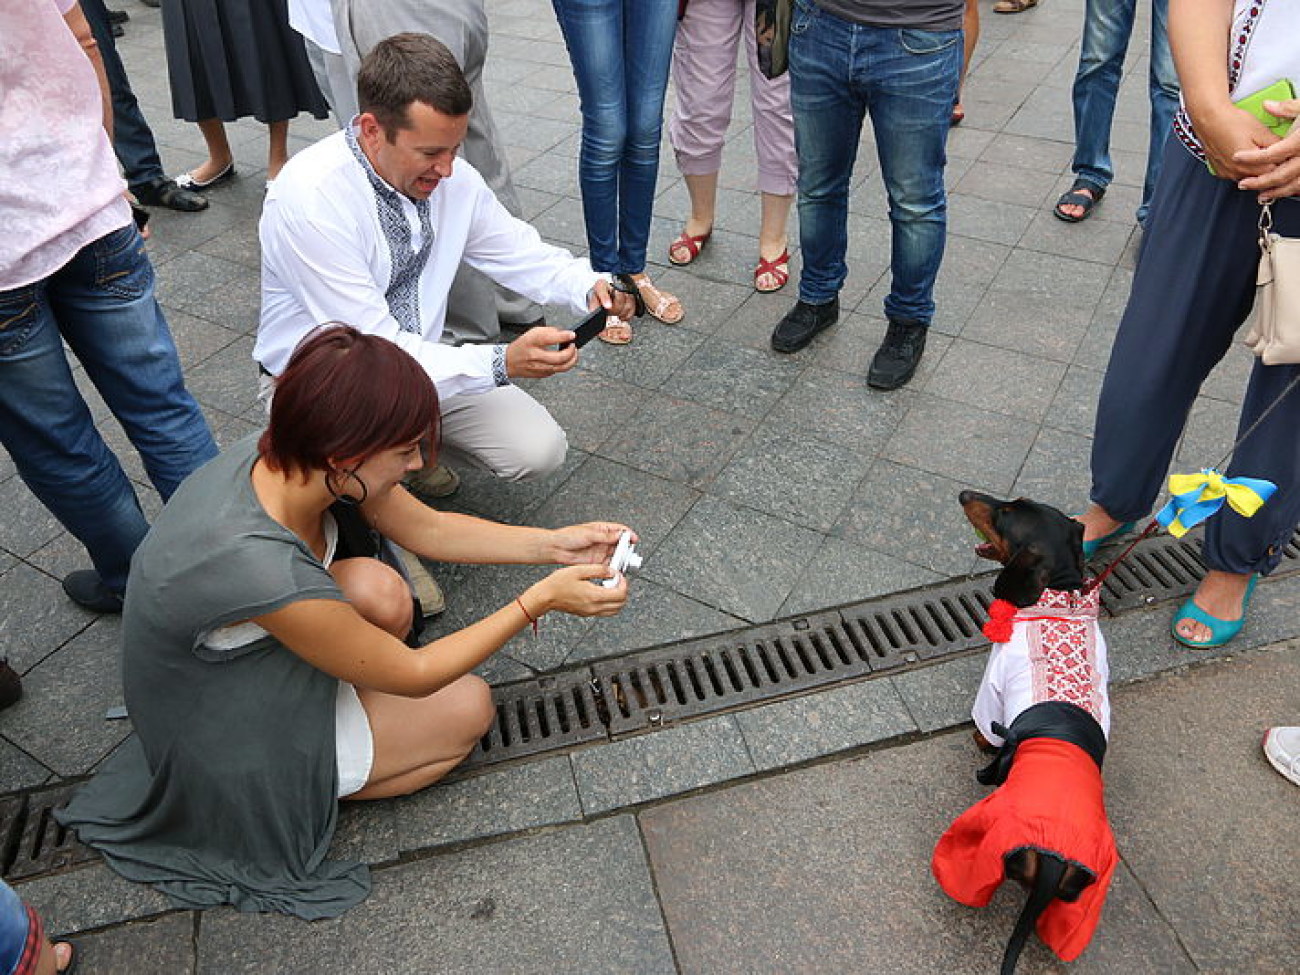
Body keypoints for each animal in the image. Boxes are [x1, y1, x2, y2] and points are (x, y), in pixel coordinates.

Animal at [935, 496, 1118, 975]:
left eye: (1004, 515)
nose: (964, 493)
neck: (1059, 597)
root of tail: (1055, 856)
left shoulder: (991, 690)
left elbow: (985, 727)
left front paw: (982, 741)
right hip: (1081, 897)